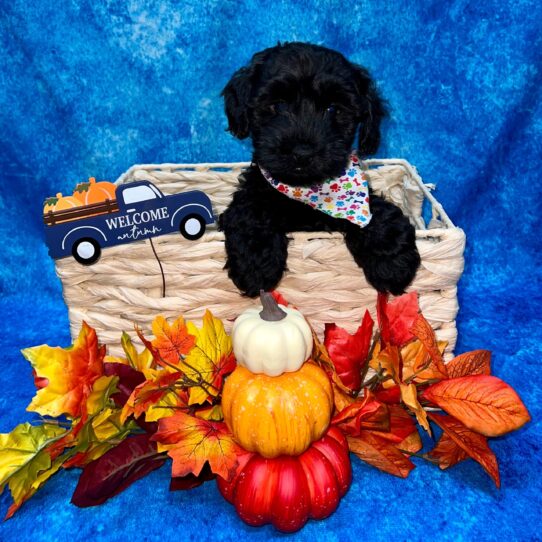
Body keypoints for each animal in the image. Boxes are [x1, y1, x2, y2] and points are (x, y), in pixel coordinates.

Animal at [219, 42, 422, 298]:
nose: (302, 152)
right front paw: (255, 266)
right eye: (278, 105)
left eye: (333, 109)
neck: (308, 191)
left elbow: (377, 213)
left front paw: (391, 261)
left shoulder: (359, 200)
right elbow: (249, 214)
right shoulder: (253, 193)